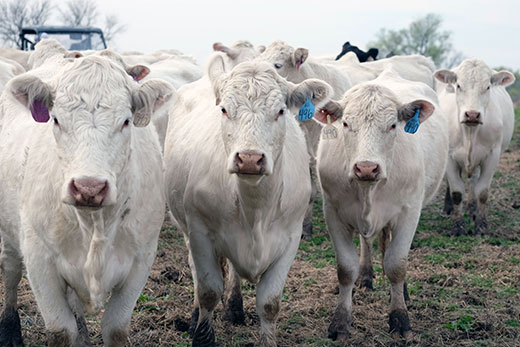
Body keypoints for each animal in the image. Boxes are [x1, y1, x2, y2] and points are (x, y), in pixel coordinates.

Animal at [0, 55, 174, 346]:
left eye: (126, 121)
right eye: (56, 120)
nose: (88, 187)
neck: (95, 224)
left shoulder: (141, 260)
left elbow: (115, 328)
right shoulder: (39, 260)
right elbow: (61, 330)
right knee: (11, 272)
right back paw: (10, 330)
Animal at [165, 57, 332, 347]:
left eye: (280, 111)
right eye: (224, 109)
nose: (250, 159)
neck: (256, 210)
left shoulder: (290, 239)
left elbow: (270, 303)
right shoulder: (200, 233)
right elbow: (208, 291)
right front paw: (202, 336)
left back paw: (234, 309)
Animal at [314, 70, 448, 342]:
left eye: (393, 125)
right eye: (346, 124)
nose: (366, 168)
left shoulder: (409, 213)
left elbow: (396, 264)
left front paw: (399, 318)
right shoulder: (334, 212)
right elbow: (345, 268)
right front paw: (340, 322)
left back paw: (401, 293)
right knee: (368, 243)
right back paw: (365, 276)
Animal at [432, 58, 512, 235]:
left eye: (487, 87)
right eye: (458, 85)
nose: (472, 115)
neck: (470, 131)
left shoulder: (492, 155)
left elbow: (482, 191)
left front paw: (481, 226)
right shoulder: (450, 157)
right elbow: (456, 192)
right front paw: (457, 227)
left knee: (474, 181)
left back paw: (472, 209)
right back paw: (448, 209)